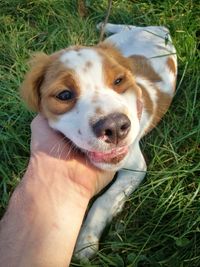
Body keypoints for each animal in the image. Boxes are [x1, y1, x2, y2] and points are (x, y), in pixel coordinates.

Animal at [20, 24, 177, 260]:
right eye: (64, 95)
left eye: (119, 81)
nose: (115, 128)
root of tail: (159, 28)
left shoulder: (135, 168)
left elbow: (104, 200)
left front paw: (86, 240)